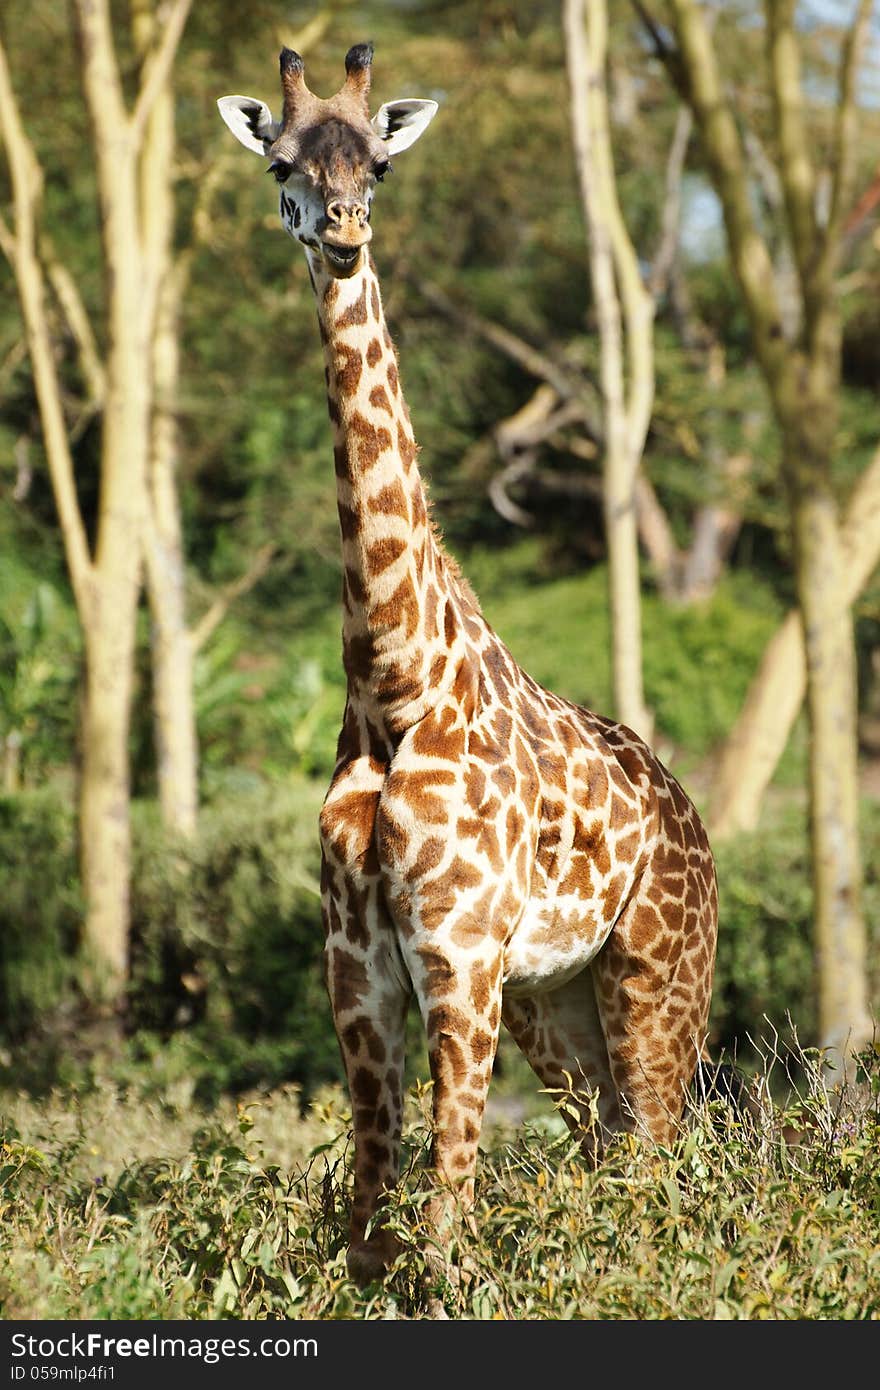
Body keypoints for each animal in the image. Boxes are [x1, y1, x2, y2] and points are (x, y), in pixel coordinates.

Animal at [216, 40, 717, 1278]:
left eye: (380, 164)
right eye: (283, 163)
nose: (343, 231)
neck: (392, 681)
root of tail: (689, 811)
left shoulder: (456, 952)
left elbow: (445, 1214)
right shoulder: (356, 964)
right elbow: (368, 1203)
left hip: (654, 979)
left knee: (658, 1163)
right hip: (558, 997)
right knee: (607, 1148)